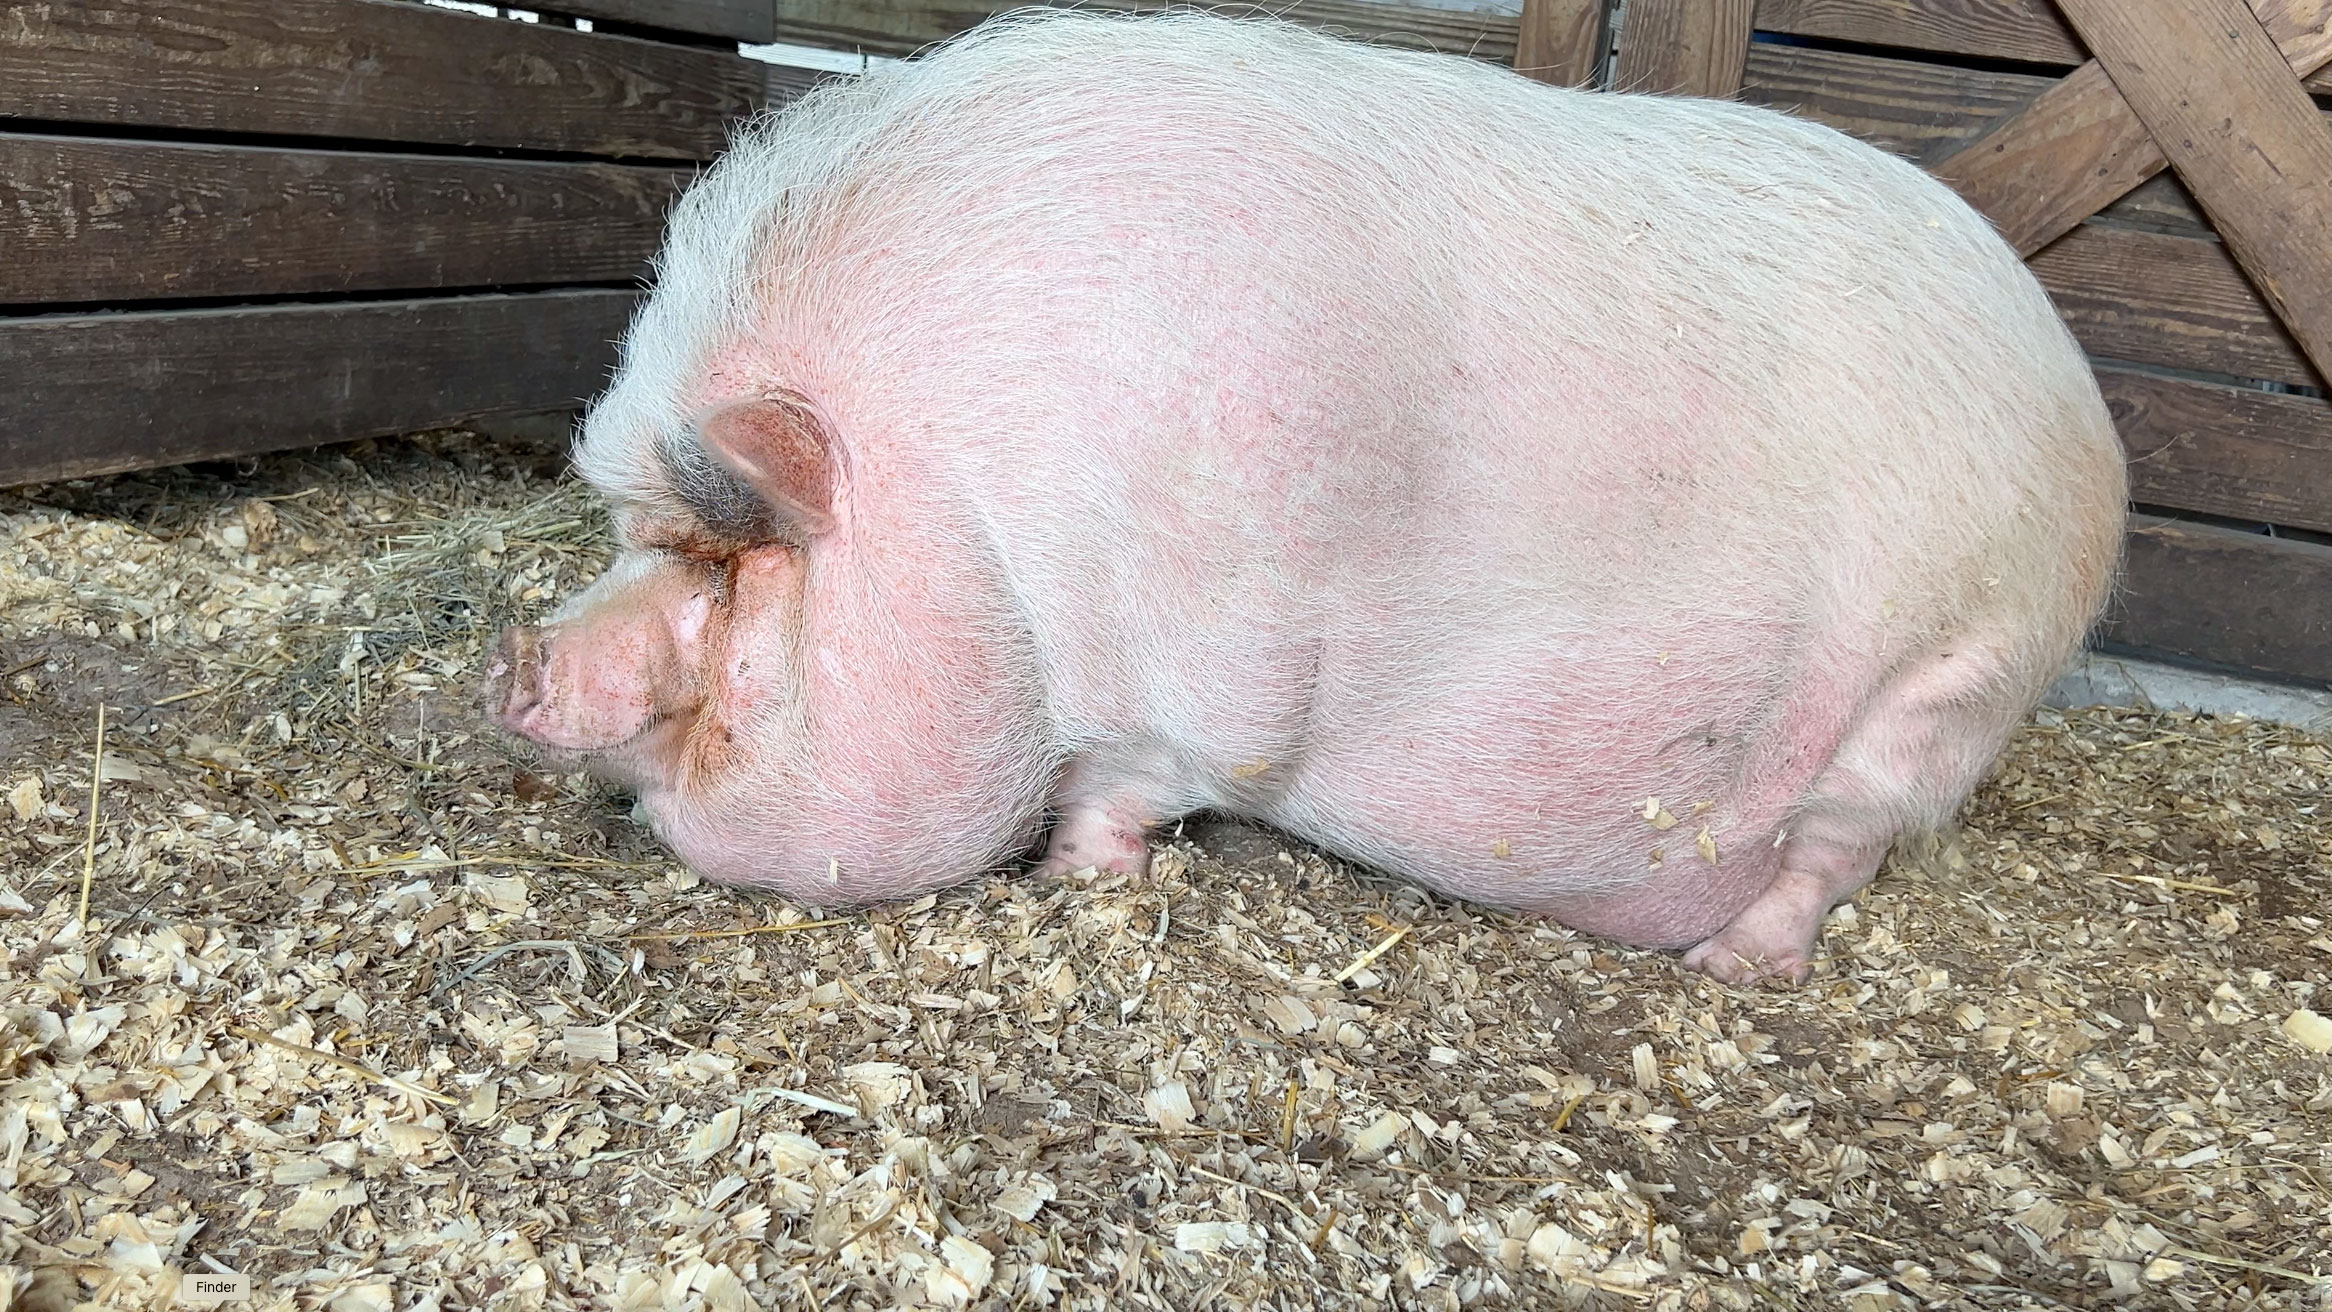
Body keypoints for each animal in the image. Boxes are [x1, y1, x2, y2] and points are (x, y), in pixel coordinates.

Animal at [485, 9, 2127, 983]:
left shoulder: (1221, 677)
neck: (988, 531)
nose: (513, 656)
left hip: (1949, 682)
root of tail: (2087, 420)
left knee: (1836, 847)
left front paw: (1074, 879)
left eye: (726, 558)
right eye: (634, 536)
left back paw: (1734, 968)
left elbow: (1138, 785)